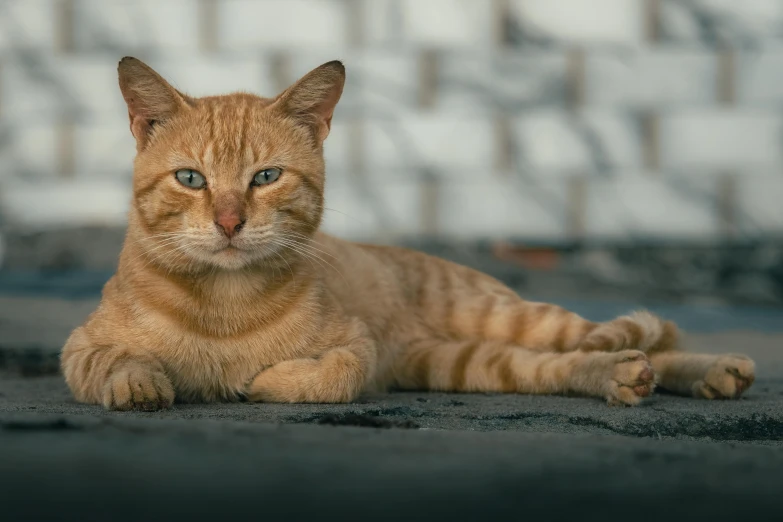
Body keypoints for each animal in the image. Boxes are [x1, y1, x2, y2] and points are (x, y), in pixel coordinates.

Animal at [61, 55, 752, 406]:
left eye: (265, 177)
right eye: (190, 179)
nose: (230, 221)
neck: (224, 308)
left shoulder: (359, 346)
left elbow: (327, 377)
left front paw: (260, 382)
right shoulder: (79, 345)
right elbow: (114, 362)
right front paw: (142, 382)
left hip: (511, 319)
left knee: (636, 338)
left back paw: (709, 366)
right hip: (467, 362)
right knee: (566, 366)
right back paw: (633, 377)